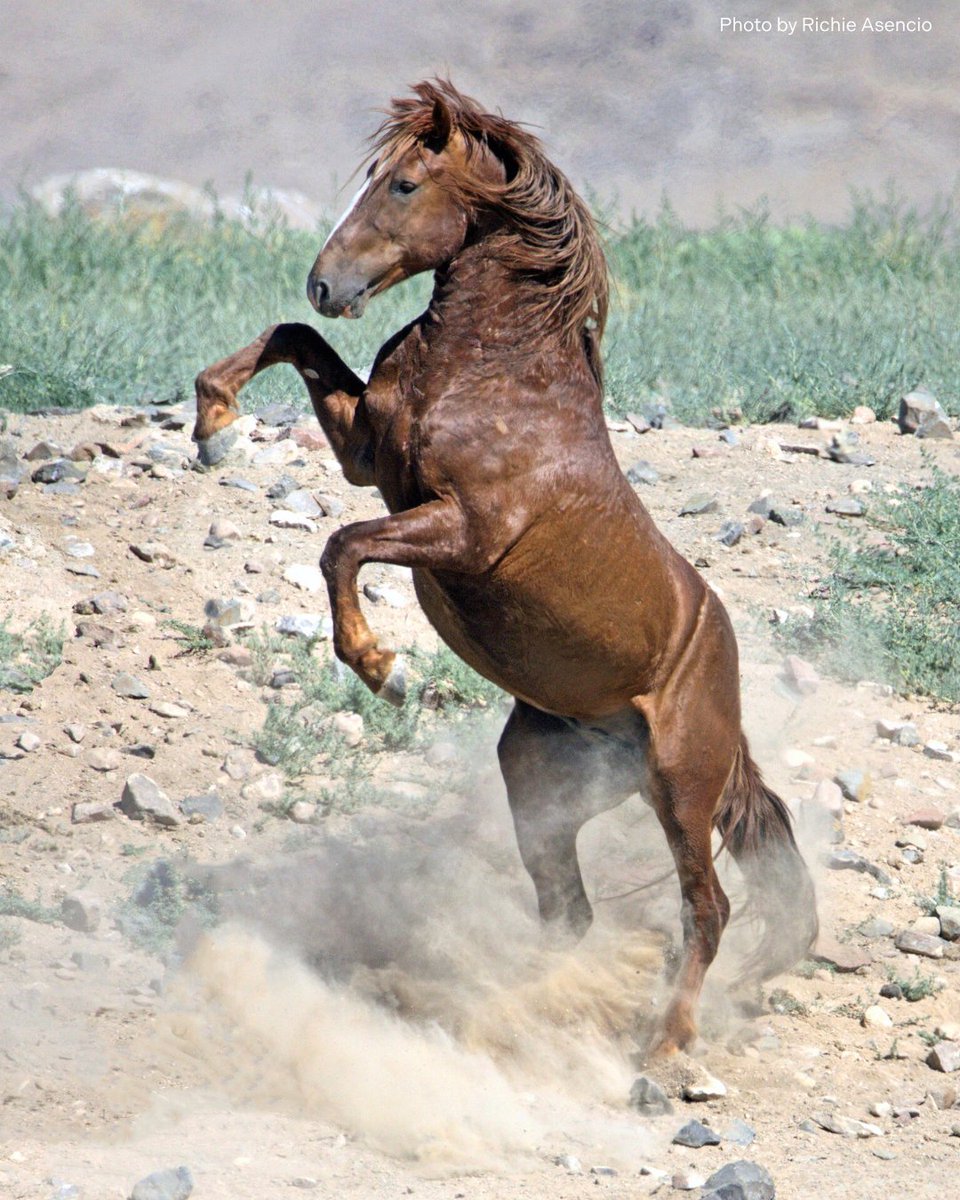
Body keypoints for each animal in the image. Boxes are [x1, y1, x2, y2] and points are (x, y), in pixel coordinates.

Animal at [193, 79, 818, 1057]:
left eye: (404, 184)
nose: (327, 283)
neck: (495, 373)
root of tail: (724, 686)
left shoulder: (461, 531)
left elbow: (343, 545)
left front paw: (382, 669)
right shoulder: (369, 456)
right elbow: (293, 342)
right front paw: (211, 414)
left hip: (682, 787)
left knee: (706, 909)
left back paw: (662, 1048)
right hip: (545, 783)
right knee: (570, 911)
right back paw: (514, 1007)